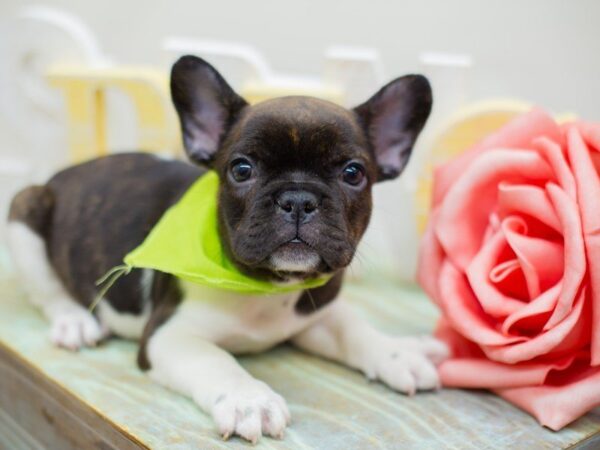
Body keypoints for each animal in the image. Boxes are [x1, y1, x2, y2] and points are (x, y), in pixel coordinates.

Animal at [7, 56, 448, 442]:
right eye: (241, 169)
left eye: (353, 173)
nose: (298, 199)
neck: (269, 287)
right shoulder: (168, 333)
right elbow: (214, 360)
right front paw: (248, 399)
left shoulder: (317, 312)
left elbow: (353, 329)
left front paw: (396, 352)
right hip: (26, 211)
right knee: (48, 291)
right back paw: (75, 321)